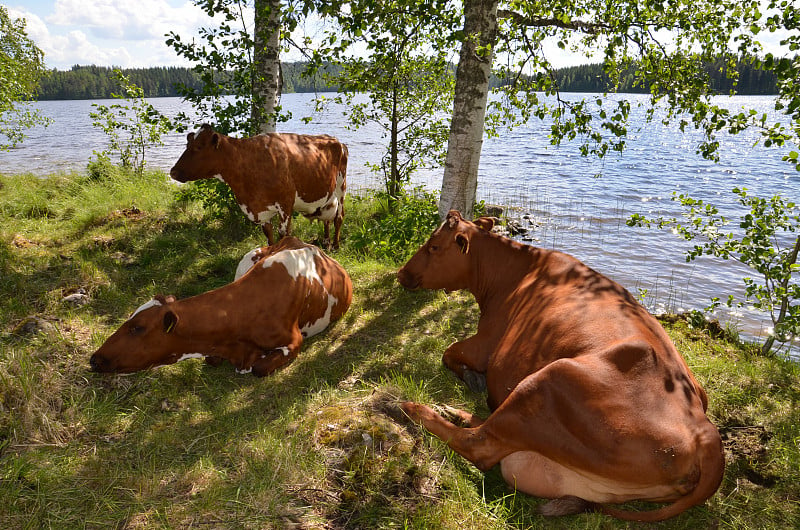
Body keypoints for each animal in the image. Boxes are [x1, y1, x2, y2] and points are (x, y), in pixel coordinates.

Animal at [169, 124, 346, 248]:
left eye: (198, 147)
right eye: (187, 145)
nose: (173, 172)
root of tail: (335, 140)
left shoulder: (285, 204)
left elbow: (284, 236)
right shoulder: (260, 211)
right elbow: (269, 237)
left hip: (341, 186)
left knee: (338, 217)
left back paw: (336, 245)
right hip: (327, 195)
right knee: (326, 219)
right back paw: (326, 242)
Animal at [394, 210, 724, 520]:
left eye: (434, 246)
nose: (401, 273)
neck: (513, 273)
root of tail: (705, 434)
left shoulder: (484, 344)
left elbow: (449, 352)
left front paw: (471, 378)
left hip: (548, 379)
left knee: (479, 445)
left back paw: (414, 408)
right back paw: (457, 412)